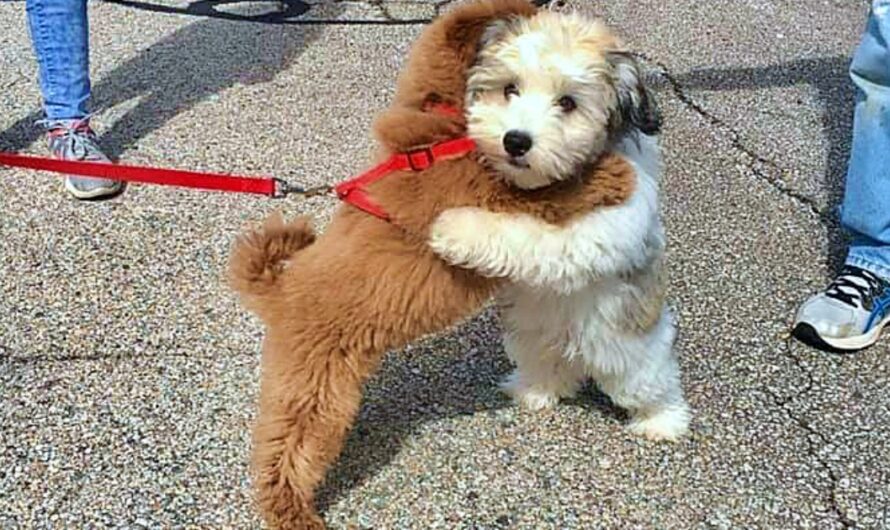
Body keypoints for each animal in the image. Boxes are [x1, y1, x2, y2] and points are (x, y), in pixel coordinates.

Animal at [227, 2, 632, 524]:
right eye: (512, 87)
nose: (516, 139)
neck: (437, 129)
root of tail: (279, 291)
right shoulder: (493, 192)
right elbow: (554, 191)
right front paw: (611, 173)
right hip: (315, 391)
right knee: (285, 453)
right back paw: (293, 513)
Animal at [426, 10, 692, 440]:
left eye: (567, 102)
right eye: (510, 89)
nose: (516, 140)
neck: (558, 182)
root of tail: (576, 349)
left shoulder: (597, 229)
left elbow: (529, 236)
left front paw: (454, 228)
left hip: (632, 351)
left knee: (650, 383)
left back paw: (662, 421)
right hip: (532, 338)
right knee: (548, 368)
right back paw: (535, 391)